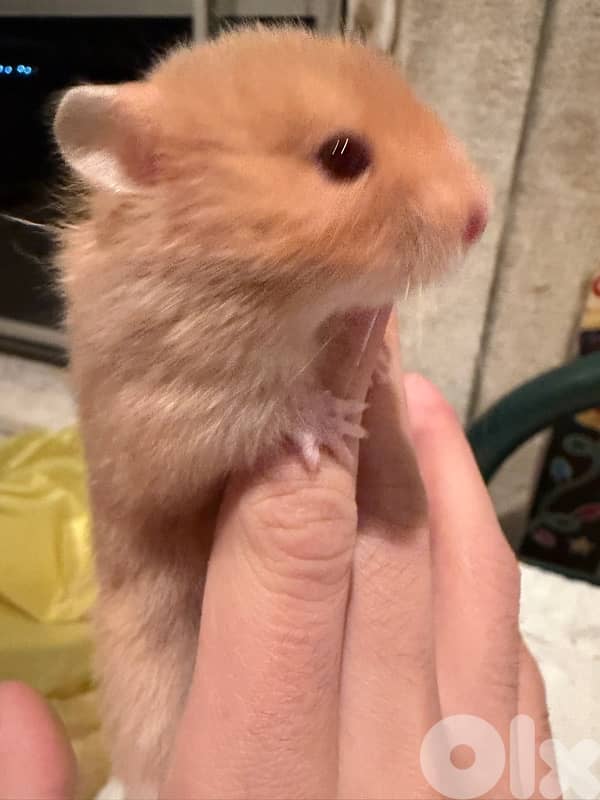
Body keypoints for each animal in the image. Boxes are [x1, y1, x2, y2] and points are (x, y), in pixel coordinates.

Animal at [53, 26, 488, 797]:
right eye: (342, 156)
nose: (484, 214)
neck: (265, 291)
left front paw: (380, 366)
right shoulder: (171, 407)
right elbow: (266, 405)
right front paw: (338, 421)